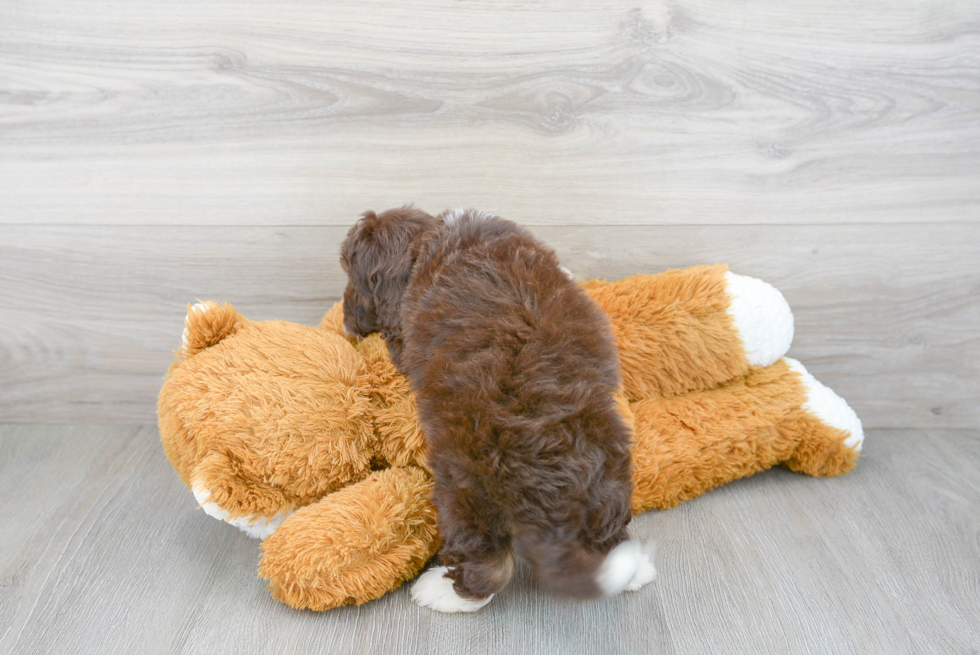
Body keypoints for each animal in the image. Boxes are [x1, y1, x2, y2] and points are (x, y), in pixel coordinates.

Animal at [340, 208, 656, 612]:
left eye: (352, 278)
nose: (345, 321)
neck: (429, 238)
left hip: (466, 490)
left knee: (489, 564)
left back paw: (442, 593)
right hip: (608, 479)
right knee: (608, 536)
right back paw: (635, 569)